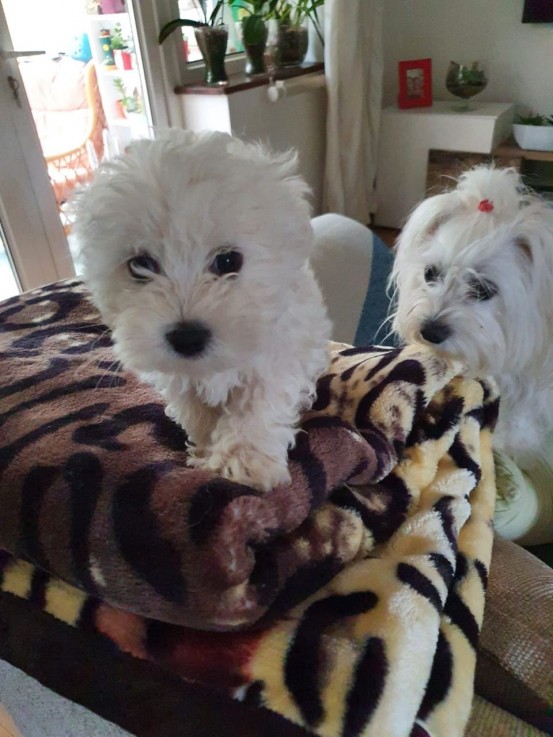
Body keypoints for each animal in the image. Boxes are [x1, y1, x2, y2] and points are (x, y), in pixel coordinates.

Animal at [75, 129, 330, 492]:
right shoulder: (179, 377)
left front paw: (243, 460)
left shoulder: (279, 351)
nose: (187, 337)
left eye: (228, 260)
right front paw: (209, 448)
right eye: (140, 265)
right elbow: (197, 411)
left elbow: (258, 402)